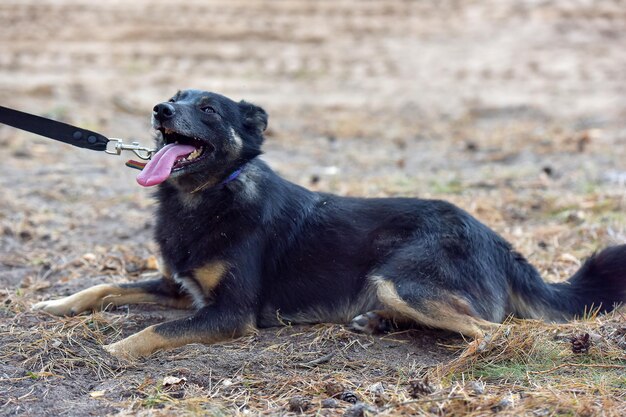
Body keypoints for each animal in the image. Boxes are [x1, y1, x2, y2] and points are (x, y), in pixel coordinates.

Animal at [33, 90, 624, 358]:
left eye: (206, 108)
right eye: (175, 99)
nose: (159, 109)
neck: (208, 196)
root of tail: (498, 240)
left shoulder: (229, 313)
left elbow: (153, 330)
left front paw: (108, 351)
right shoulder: (181, 288)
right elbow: (106, 286)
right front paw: (54, 305)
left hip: (401, 278)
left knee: (492, 330)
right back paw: (375, 323)